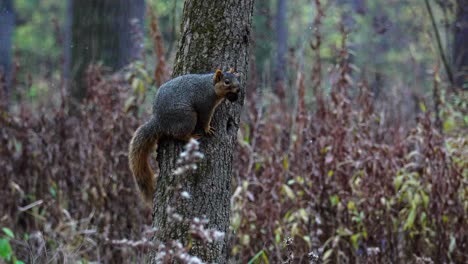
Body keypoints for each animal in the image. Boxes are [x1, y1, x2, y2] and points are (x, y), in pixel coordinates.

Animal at [127, 69, 239, 203]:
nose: (238, 89)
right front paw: (207, 129)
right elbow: (205, 118)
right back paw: (191, 137)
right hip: (187, 118)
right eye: (227, 82)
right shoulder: (205, 104)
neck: (210, 87)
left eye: (237, 78)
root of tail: (160, 121)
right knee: (178, 134)